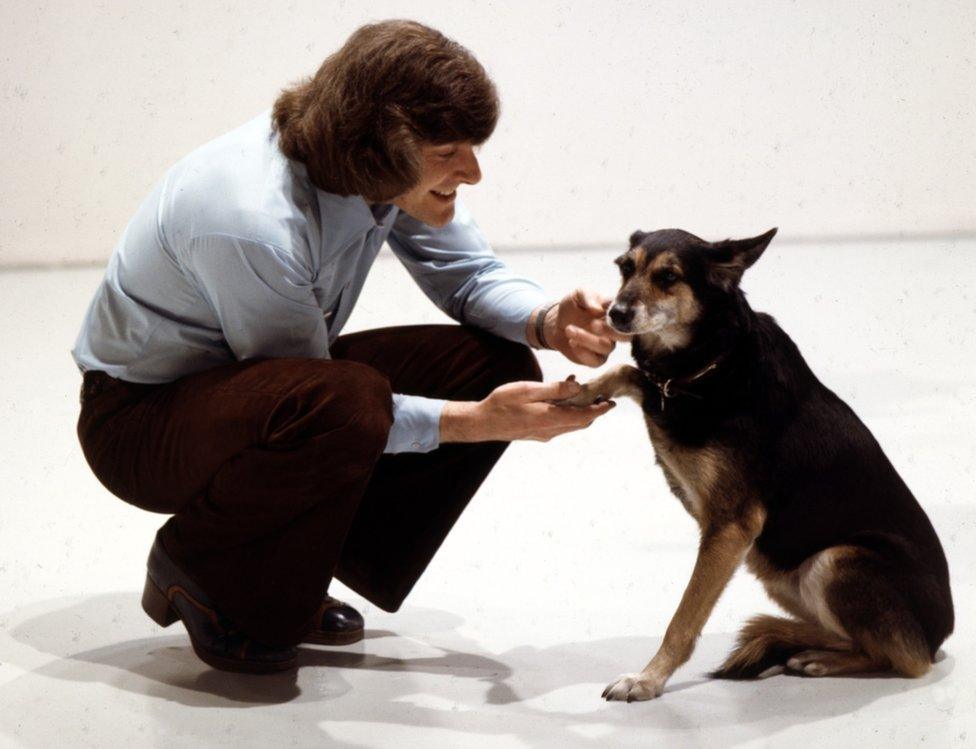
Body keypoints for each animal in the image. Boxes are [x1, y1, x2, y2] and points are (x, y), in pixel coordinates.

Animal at [564, 226, 952, 700]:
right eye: (624, 267)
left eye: (668, 276)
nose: (615, 315)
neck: (716, 359)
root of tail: (939, 638)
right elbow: (628, 372)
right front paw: (581, 392)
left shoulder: (732, 527)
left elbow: (683, 619)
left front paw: (648, 678)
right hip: (774, 567)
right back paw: (803, 648)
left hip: (833, 560)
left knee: (905, 659)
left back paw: (822, 660)